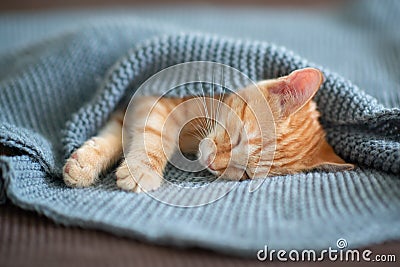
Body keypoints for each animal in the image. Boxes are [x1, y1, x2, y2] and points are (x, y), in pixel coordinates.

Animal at [62, 67, 354, 193]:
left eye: (246, 174)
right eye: (238, 138)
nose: (213, 164)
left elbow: (121, 133)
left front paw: (87, 162)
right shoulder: (151, 97)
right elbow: (156, 134)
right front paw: (140, 169)